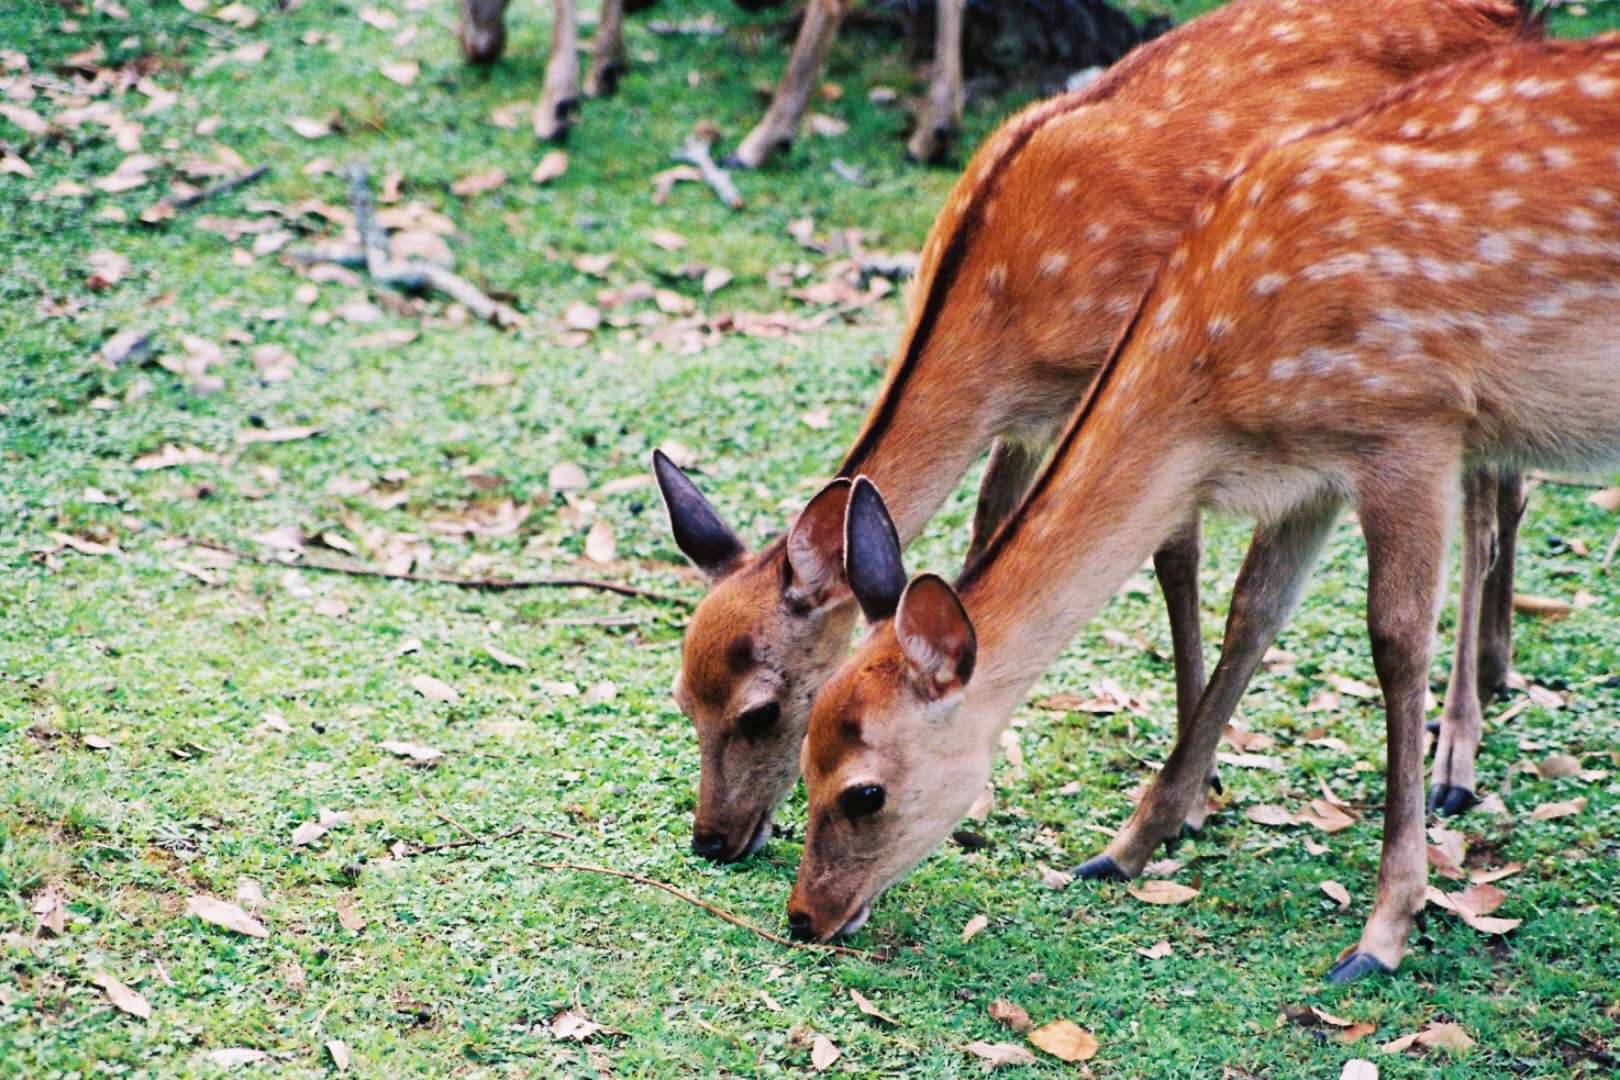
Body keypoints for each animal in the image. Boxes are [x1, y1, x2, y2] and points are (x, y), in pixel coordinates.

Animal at [655, 0, 1536, 866]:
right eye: (684, 697)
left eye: (761, 710)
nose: (712, 839)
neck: (1005, 317)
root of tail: (1512, 20)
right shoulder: (1031, 419)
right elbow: (990, 520)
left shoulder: (1141, 384)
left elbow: (1174, 561)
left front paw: (1197, 793)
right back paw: (1496, 669)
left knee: (1483, 507)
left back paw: (1456, 753)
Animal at [789, 31, 1618, 983]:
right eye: (803, 750)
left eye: (864, 792)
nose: (803, 916)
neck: (1214, 385)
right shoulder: (1313, 471)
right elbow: (1252, 616)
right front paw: (1126, 844)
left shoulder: (1413, 426)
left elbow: (1395, 642)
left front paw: (1382, 930)